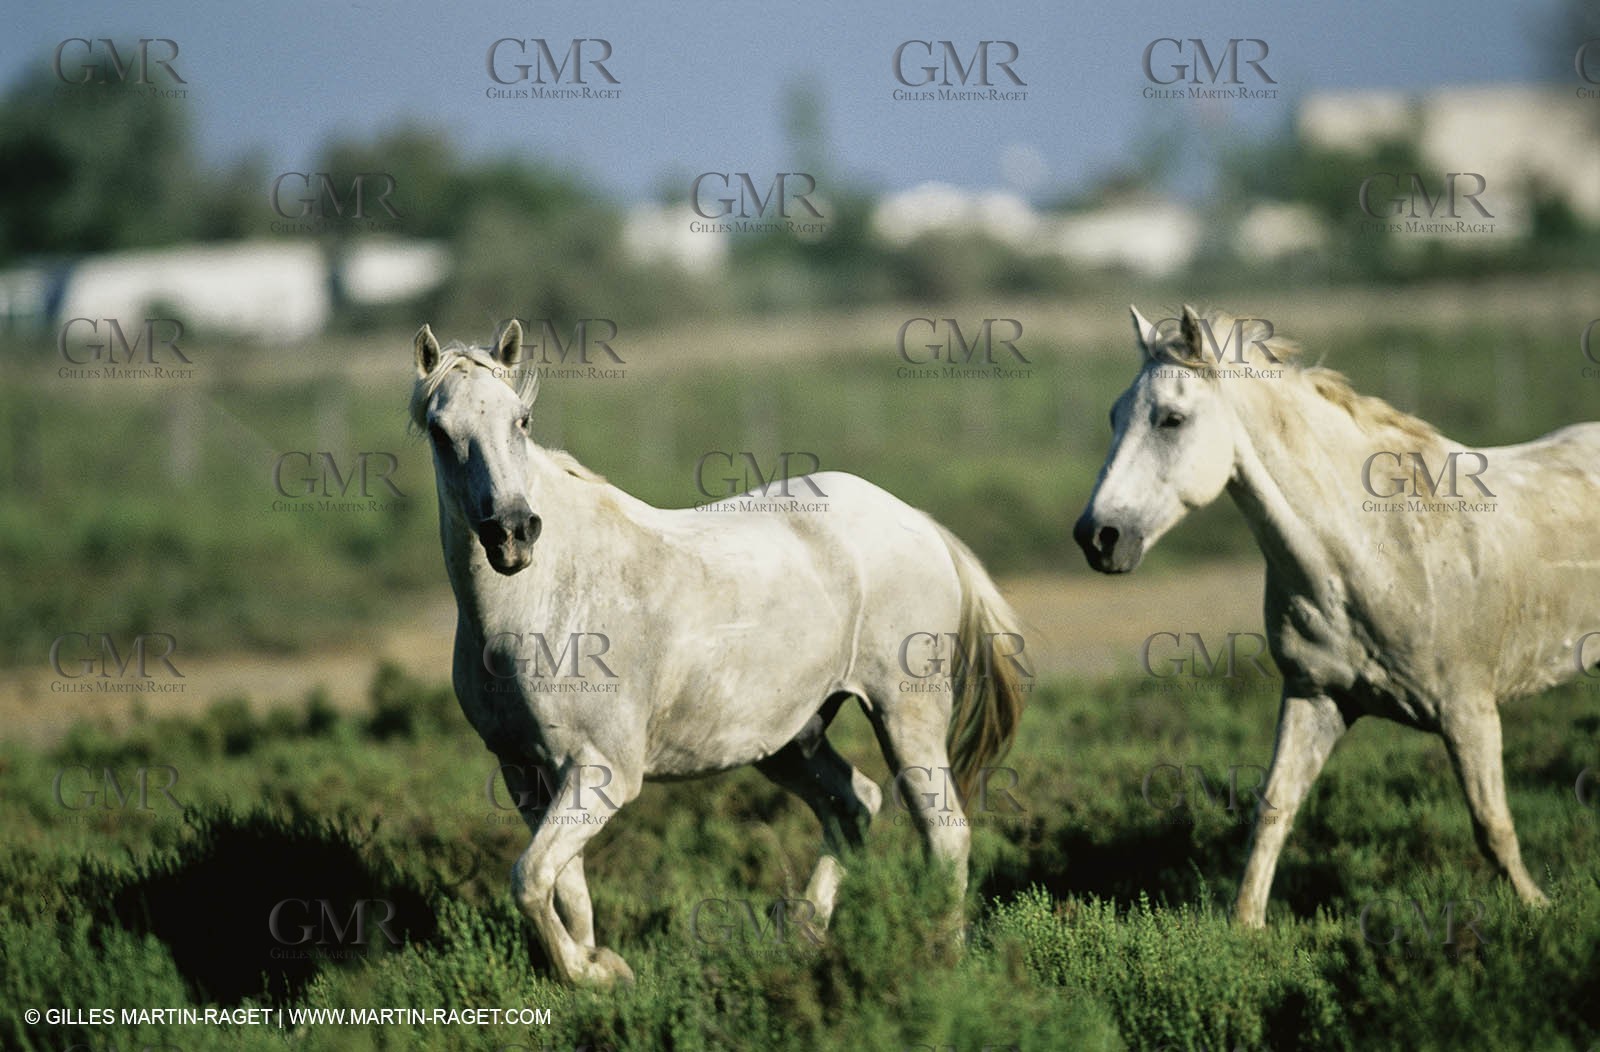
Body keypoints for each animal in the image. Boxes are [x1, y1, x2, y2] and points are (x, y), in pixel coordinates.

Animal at [410, 320, 1028, 984]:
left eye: (520, 419)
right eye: (440, 432)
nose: (512, 534)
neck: (548, 595)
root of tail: (918, 521)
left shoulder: (602, 771)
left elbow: (528, 878)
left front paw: (597, 973)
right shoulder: (524, 770)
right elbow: (561, 886)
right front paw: (596, 966)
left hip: (905, 714)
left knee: (945, 833)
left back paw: (943, 959)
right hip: (790, 738)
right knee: (854, 805)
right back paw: (803, 938)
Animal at [1074, 305, 1598, 926]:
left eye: (1171, 419)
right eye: (1113, 415)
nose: (1097, 537)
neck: (1375, 550)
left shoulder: (1468, 710)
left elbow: (1492, 826)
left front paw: (1540, 909)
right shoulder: (1315, 697)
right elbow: (1273, 811)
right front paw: (1245, 926)